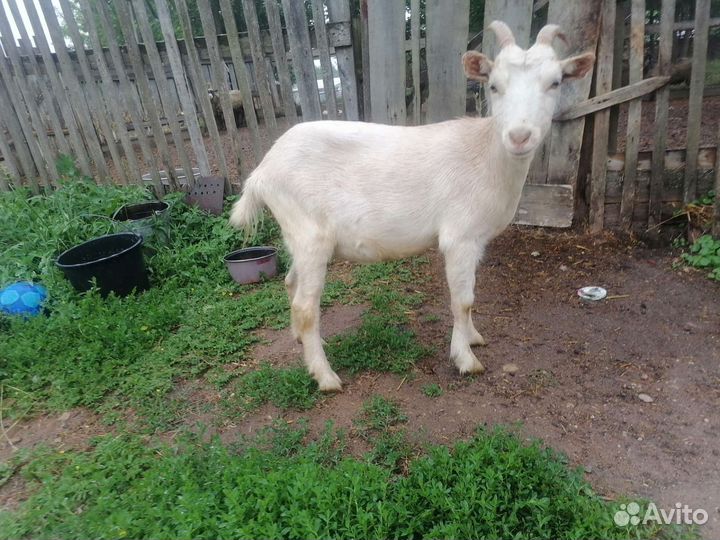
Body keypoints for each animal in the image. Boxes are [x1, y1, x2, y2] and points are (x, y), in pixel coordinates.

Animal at [229, 21, 595, 392]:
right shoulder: (459, 237)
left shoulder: (477, 241)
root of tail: (262, 171)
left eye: (555, 82)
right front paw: (466, 359)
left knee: (291, 283)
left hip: (299, 237)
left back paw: (302, 342)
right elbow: (462, 301)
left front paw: (474, 337)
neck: (485, 154)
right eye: (494, 85)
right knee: (306, 307)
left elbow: (471, 296)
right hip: (309, 234)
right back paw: (326, 376)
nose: (520, 137)